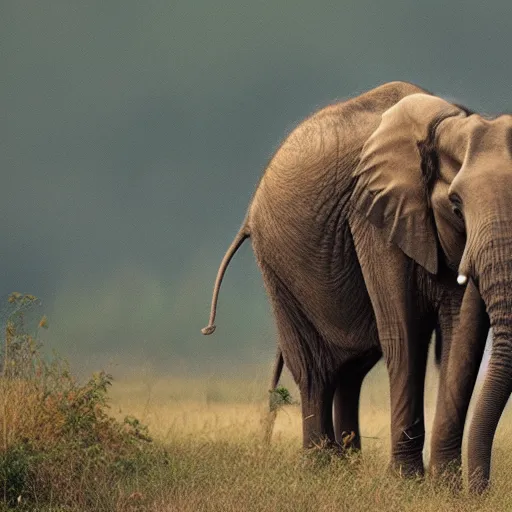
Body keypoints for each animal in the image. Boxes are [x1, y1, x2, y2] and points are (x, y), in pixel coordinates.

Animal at [201, 81, 512, 492]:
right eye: (457, 205)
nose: (482, 490)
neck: (449, 123)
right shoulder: (373, 214)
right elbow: (405, 332)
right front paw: (406, 485)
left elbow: (464, 334)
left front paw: (446, 489)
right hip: (276, 265)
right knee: (315, 370)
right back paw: (319, 469)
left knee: (351, 367)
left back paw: (345, 468)